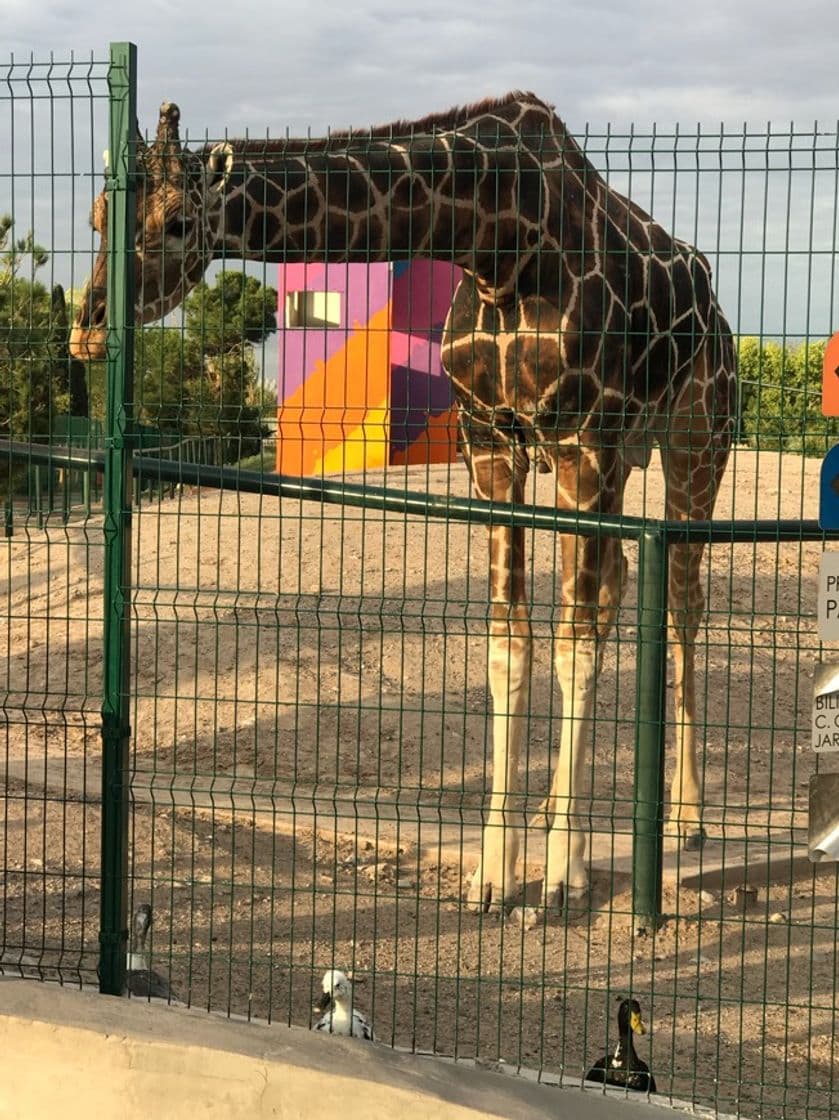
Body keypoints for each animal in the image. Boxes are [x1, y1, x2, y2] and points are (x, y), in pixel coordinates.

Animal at [73, 94, 739, 918]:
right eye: (99, 216)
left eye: (172, 222)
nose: (86, 330)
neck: (499, 245)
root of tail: (714, 303)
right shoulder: (493, 444)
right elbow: (510, 644)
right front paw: (495, 873)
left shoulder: (584, 440)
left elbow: (573, 648)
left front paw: (561, 877)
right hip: (610, 464)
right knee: (617, 583)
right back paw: (558, 809)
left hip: (693, 441)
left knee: (682, 602)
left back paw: (687, 818)